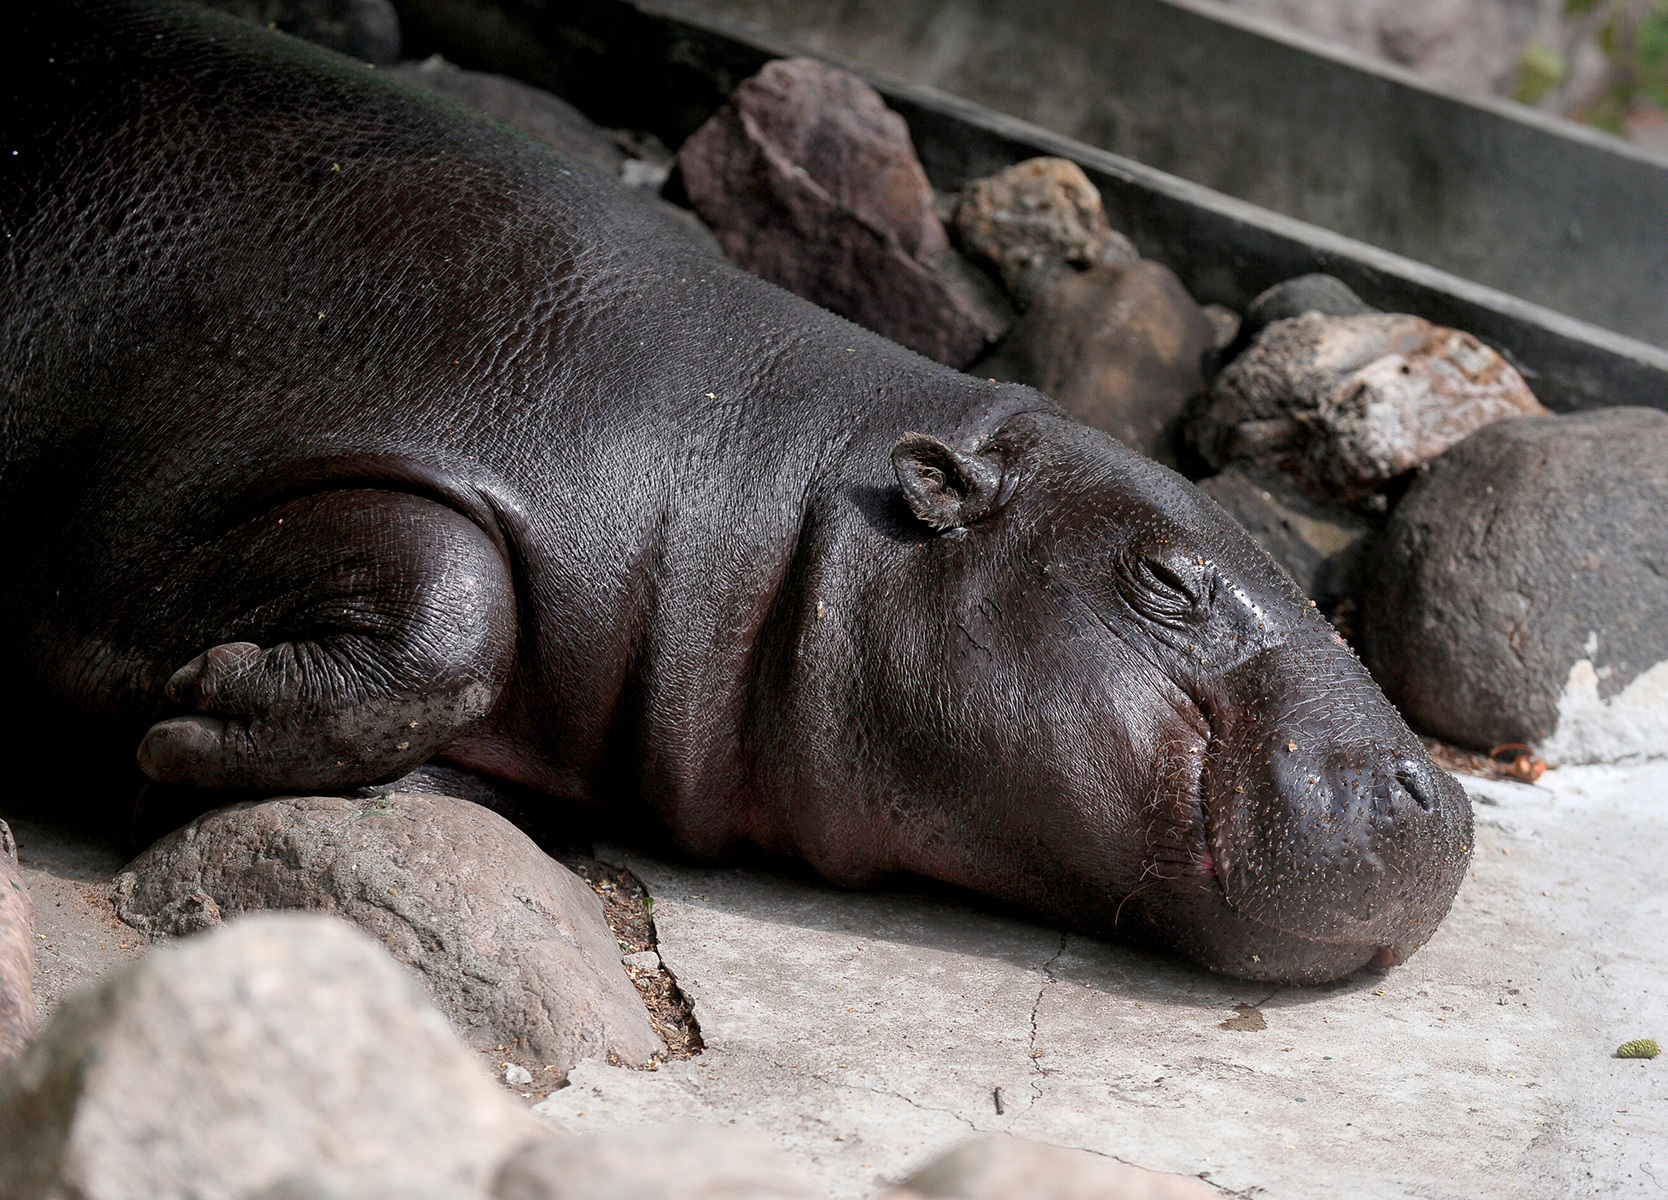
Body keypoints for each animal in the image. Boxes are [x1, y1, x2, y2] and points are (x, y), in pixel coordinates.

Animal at [0, 0, 1461, 988]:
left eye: (1317, 592)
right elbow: (453, 598)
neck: (766, 487)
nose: (1438, 794)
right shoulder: (214, 465)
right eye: (1165, 581)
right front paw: (192, 714)